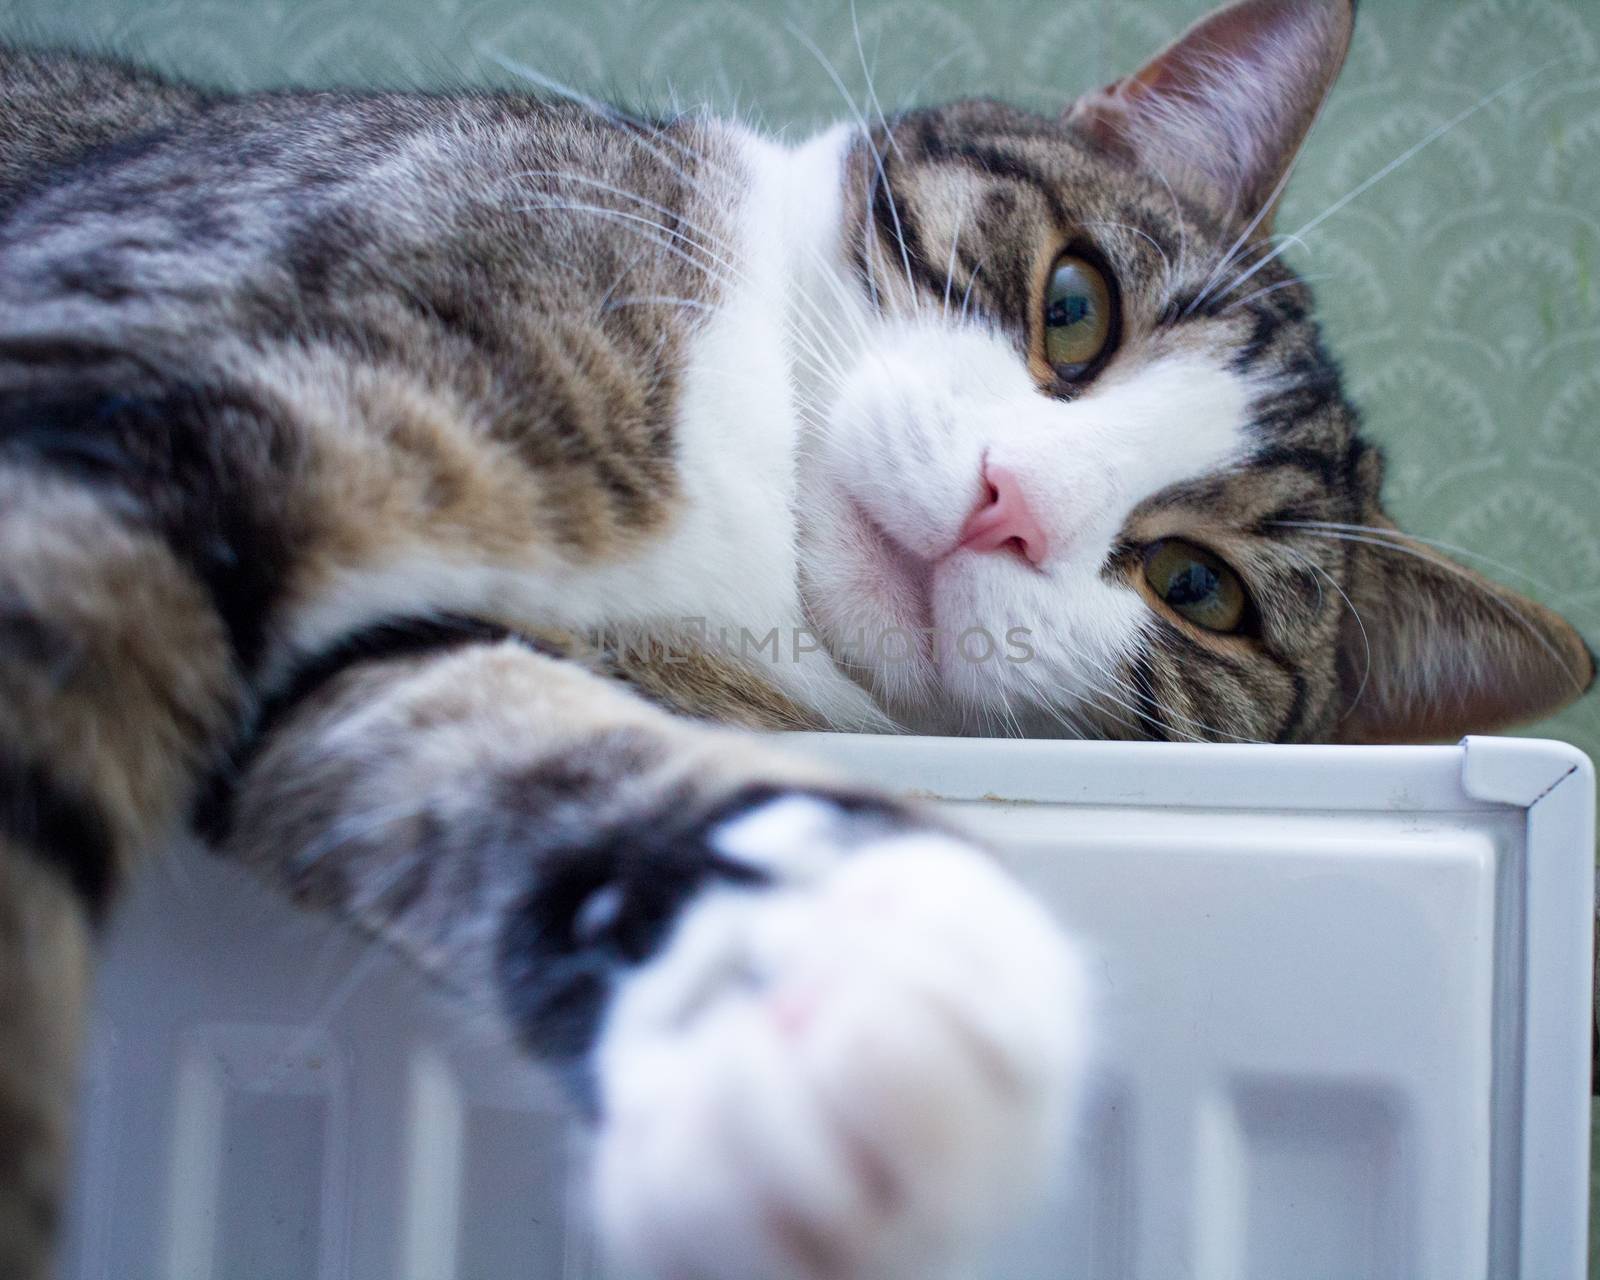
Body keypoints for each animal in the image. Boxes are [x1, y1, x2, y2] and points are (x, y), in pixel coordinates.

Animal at [0, 0, 1593, 1273]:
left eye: (1197, 589)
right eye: (1074, 306)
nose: (1007, 508)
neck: (742, 521)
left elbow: (454, 728)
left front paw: (811, 992)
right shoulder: (165, 317)